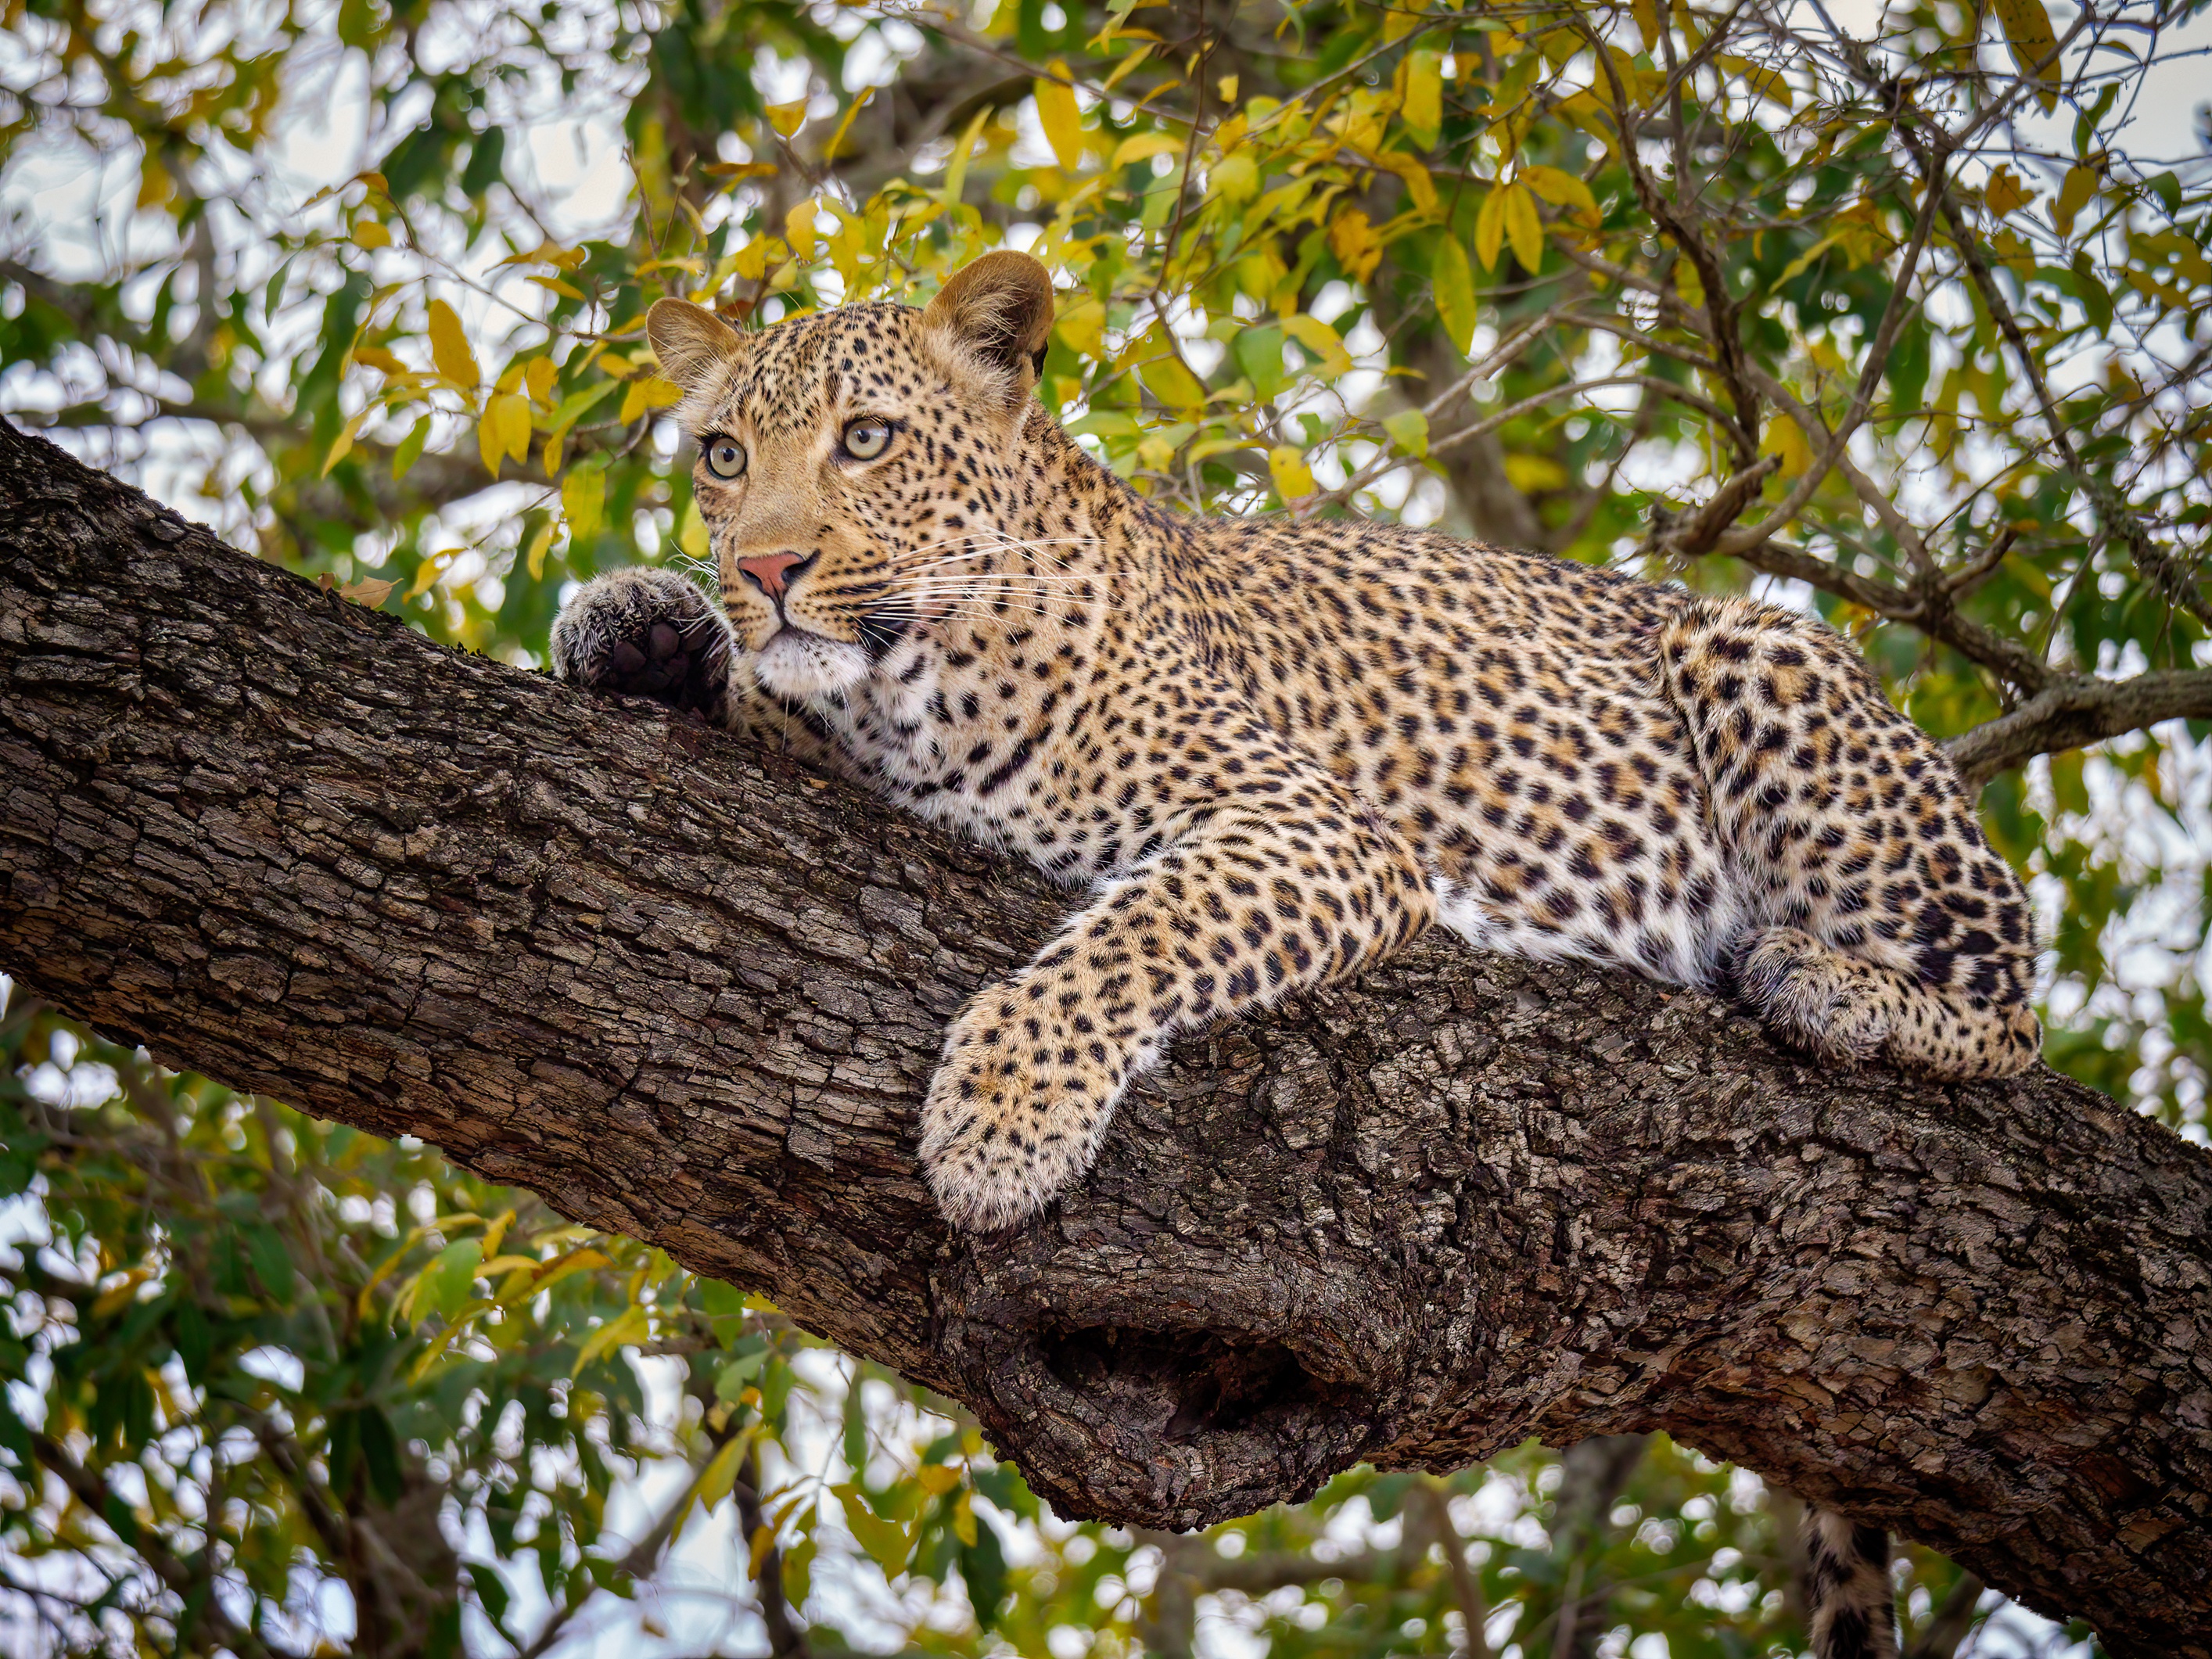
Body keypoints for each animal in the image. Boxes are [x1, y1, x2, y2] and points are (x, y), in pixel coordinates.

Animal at [548, 246, 2034, 1659]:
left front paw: (1000, 1122)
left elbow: (1135, 930)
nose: (764, 570)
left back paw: (1824, 984)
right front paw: (635, 621)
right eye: (721, 456)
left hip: (1760, 655)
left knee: (2010, 1008)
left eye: (864, 439)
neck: (901, 695)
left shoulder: (1312, 827)